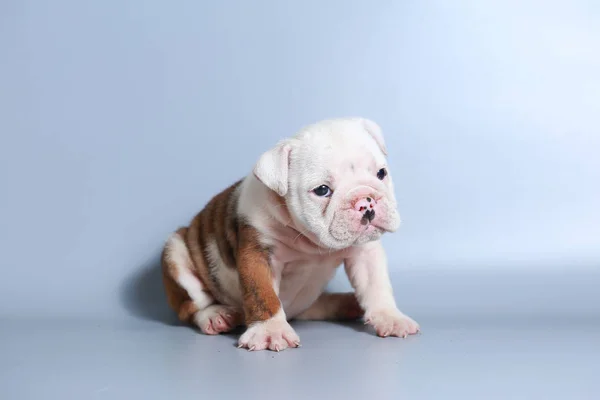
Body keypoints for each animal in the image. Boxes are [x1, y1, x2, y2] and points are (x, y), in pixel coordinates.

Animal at [162, 117, 420, 352]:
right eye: (322, 190)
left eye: (381, 173)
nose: (366, 201)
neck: (310, 241)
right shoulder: (258, 253)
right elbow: (262, 293)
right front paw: (270, 331)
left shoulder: (364, 251)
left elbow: (376, 285)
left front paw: (389, 317)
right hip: (175, 252)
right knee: (191, 307)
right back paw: (216, 316)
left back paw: (346, 304)